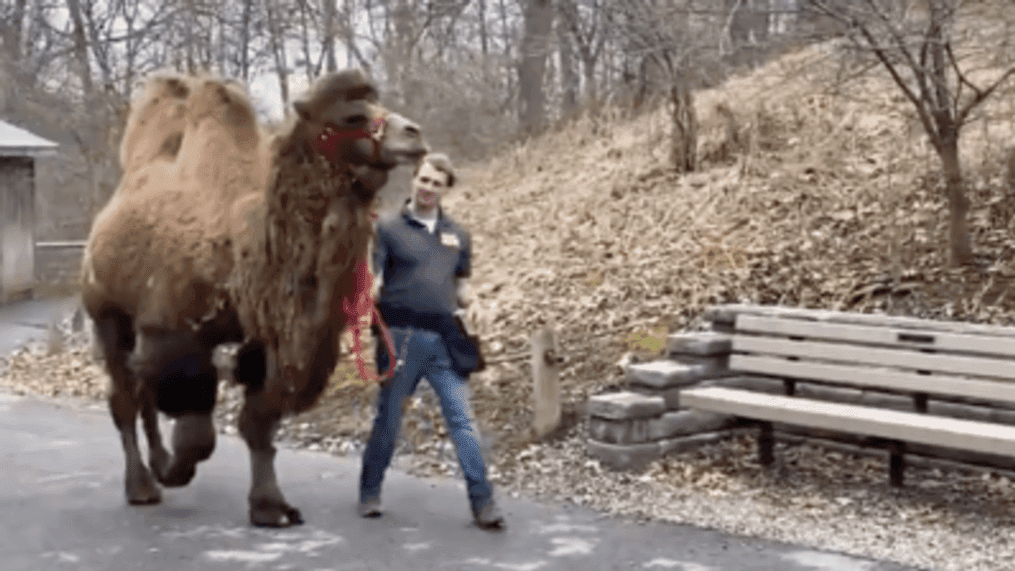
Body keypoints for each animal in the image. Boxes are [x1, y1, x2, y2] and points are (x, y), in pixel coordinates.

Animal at [81, 70, 426, 527]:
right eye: (352, 116)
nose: (413, 133)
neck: (245, 251)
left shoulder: (270, 337)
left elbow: (258, 423)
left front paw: (271, 507)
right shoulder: (172, 331)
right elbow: (198, 432)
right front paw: (175, 471)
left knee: (140, 389)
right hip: (106, 311)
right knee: (125, 395)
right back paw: (142, 486)